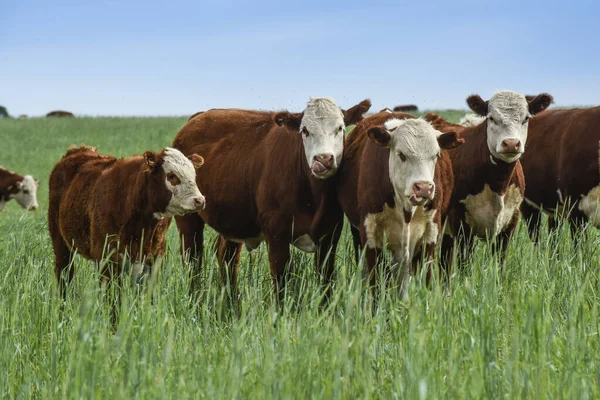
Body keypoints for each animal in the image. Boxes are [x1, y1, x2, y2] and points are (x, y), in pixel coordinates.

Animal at [49, 145, 204, 310]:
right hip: (60, 243)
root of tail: (77, 150)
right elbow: (114, 302)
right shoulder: (108, 257)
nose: (200, 200)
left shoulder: (154, 257)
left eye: (194, 175)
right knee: (64, 275)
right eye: (172, 176)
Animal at [338, 111, 464, 296]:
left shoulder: (432, 230)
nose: (424, 188)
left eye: (436, 155)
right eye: (402, 155)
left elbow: (425, 276)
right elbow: (374, 279)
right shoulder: (369, 230)